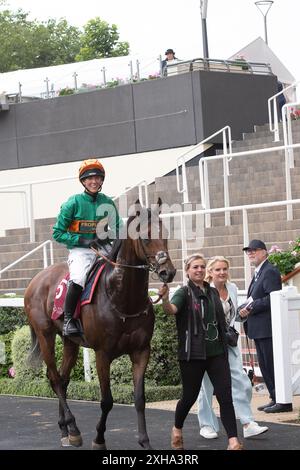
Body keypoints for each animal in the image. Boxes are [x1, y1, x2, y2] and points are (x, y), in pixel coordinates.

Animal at [25, 198, 178, 448]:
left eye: (165, 235)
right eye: (145, 238)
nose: (168, 272)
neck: (122, 298)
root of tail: (36, 280)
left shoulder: (141, 351)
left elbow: (139, 398)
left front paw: (144, 441)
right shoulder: (102, 354)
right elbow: (106, 400)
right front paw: (99, 439)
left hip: (70, 341)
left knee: (63, 380)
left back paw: (65, 430)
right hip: (45, 335)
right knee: (55, 379)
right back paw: (73, 428)